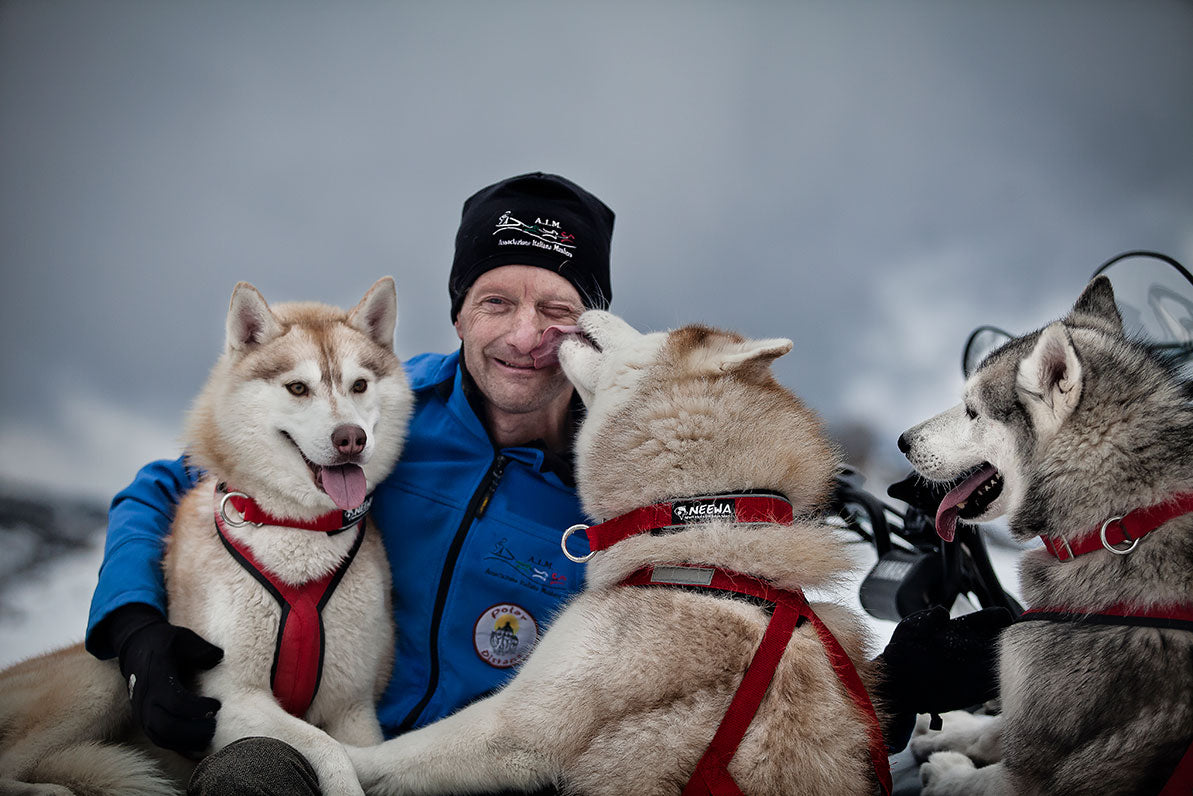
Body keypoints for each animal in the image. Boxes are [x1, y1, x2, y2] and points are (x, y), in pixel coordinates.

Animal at [0, 276, 415, 792]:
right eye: (298, 387)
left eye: (359, 385)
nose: (351, 438)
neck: (295, 526)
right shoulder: (229, 699)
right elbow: (326, 747)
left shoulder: (353, 707)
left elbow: (353, 746)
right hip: (103, 679)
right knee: (11, 762)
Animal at [345, 310, 887, 796]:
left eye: (654, 329)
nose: (580, 308)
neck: (695, 525)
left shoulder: (521, 726)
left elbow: (385, 757)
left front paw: (331, 748)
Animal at [901, 275, 1193, 796]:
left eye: (972, 411)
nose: (902, 441)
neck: (1117, 524)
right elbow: (998, 728)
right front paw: (953, 730)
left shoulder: (1031, 776)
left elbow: (981, 779)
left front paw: (949, 770)